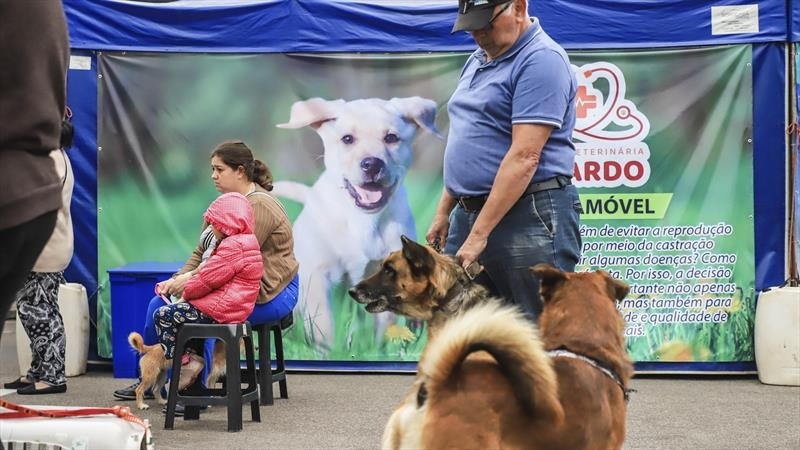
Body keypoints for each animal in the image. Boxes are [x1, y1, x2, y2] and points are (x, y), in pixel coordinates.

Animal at [274, 96, 438, 350]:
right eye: (347, 139)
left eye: (391, 138)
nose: (372, 164)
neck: (364, 220)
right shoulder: (317, 274)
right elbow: (323, 323)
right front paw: (330, 351)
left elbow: (384, 324)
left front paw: (378, 350)